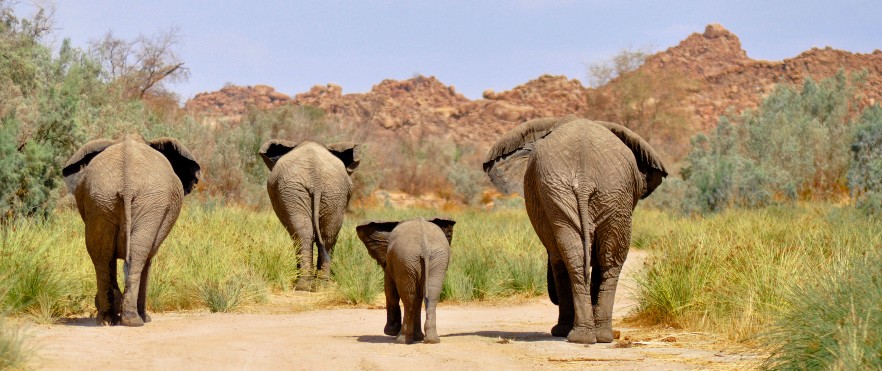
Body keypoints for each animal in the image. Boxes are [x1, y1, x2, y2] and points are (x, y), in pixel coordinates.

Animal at [62, 135, 199, 326]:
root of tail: (127, 184)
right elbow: (147, 260)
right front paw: (146, 318)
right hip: (149, 205)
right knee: (137, 256)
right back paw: (134, 320)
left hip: (99, 199)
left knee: (101, 256)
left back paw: (106, 319)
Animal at [258, 140, 360, 290]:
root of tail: (315, 178)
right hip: (331, 192)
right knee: (327, 235)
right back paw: (320, 285)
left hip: (296, 191)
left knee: (302, 235)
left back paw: (302, 285)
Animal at [484, 117, 664, 346]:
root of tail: (585, 177)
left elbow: (560, 258)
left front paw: (560, 331)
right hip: (596, 192)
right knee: (602, 260)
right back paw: (594, 336)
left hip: (596, 192)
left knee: (586, 258)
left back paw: (585, 336)